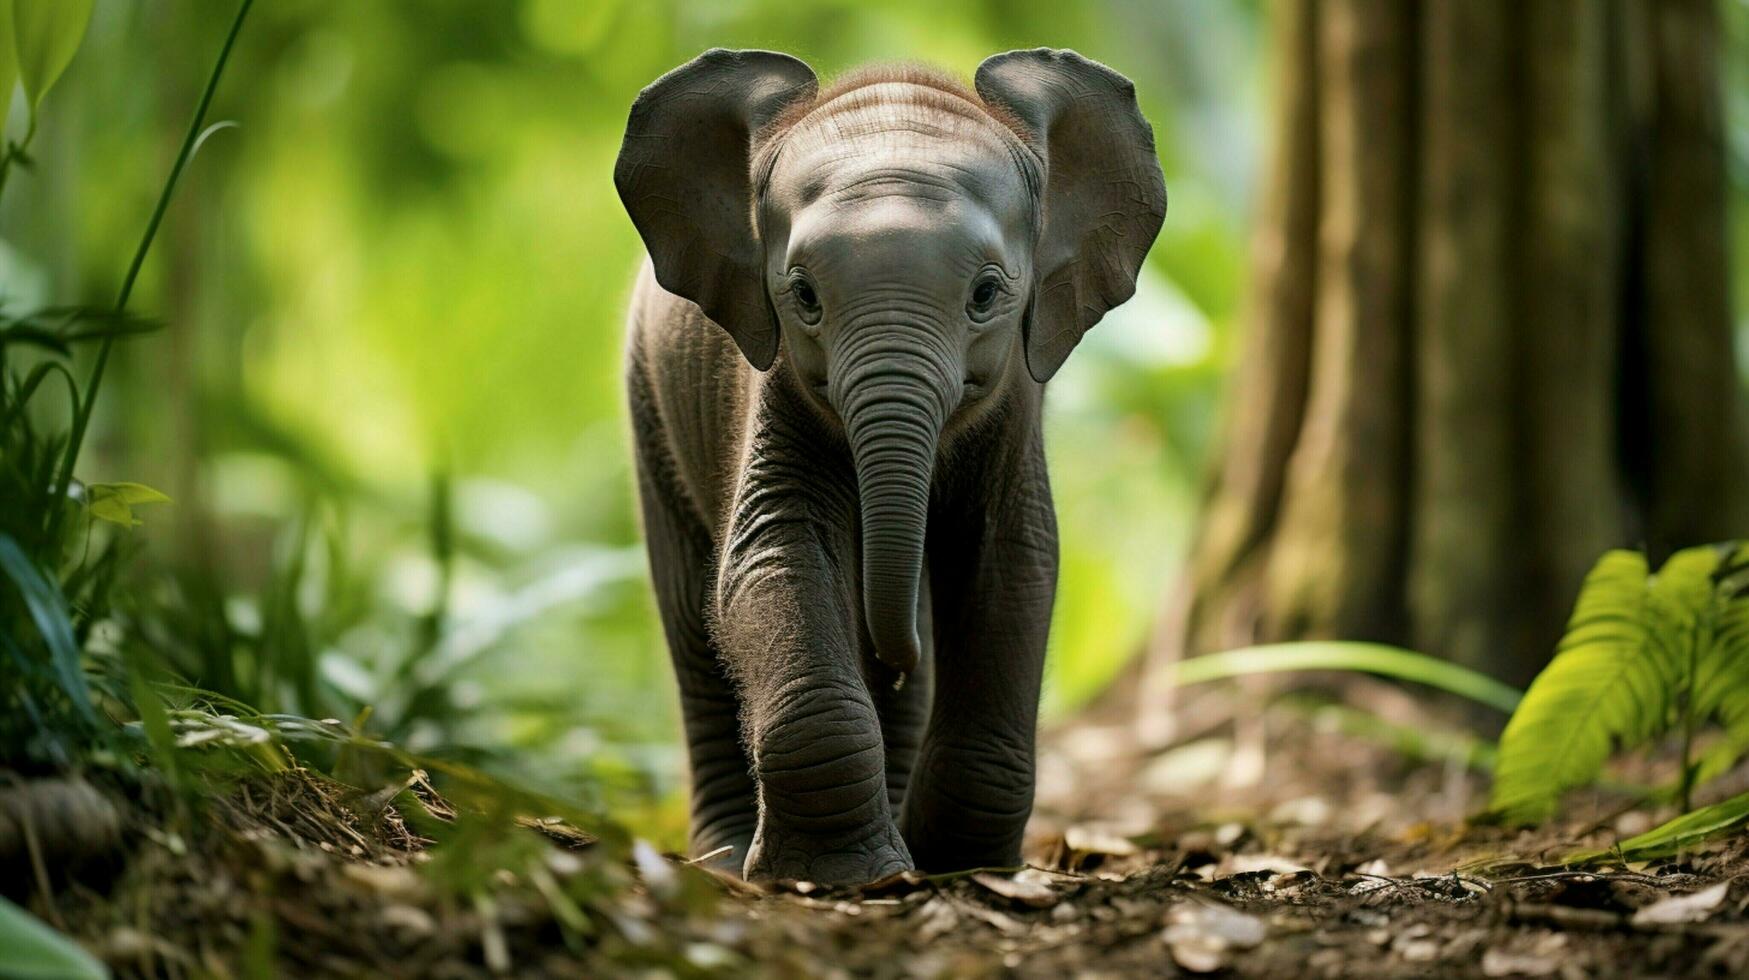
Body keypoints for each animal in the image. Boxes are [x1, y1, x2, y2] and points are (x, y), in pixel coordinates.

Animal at [615, 49, 1161, 885]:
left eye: (986, 293)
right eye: (802, 295)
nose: (894, 657)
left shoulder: (1014, 405)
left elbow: (1012, 567)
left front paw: (960, 867)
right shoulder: (773, 384)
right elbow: (771, 561)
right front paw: (843, 878)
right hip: (647, 402)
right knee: (689, 618)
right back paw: (728, 859)